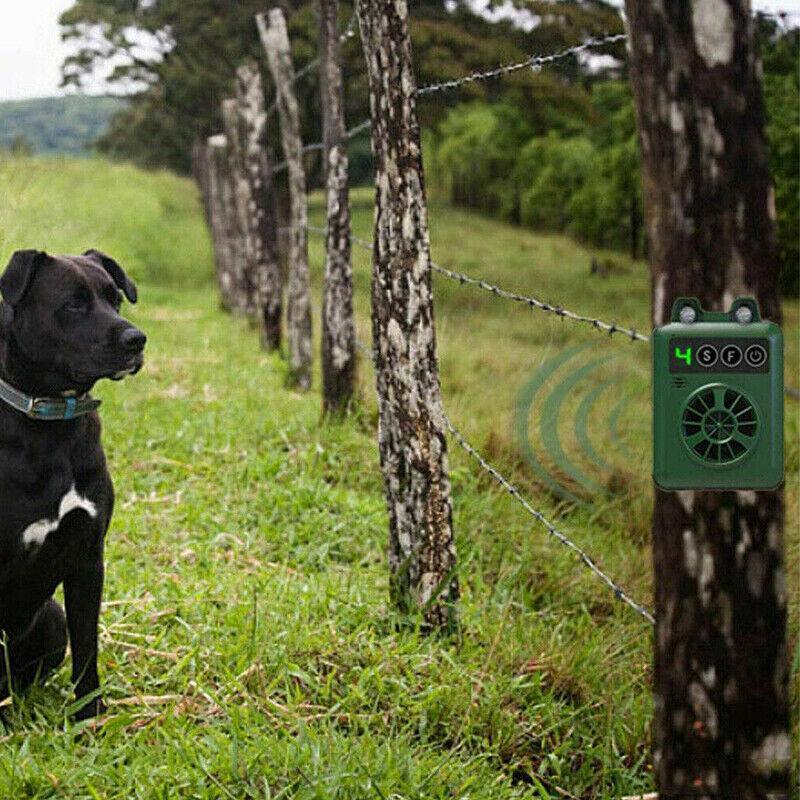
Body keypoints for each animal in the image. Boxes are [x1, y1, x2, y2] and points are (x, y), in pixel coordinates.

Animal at [0, 250, 145, 720]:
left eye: (114, 298)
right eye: (74, 304)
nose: (137, 339)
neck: (50, 425)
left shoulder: (87, 556)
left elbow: (87, 646)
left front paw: (88, 716)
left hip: (51, 618)